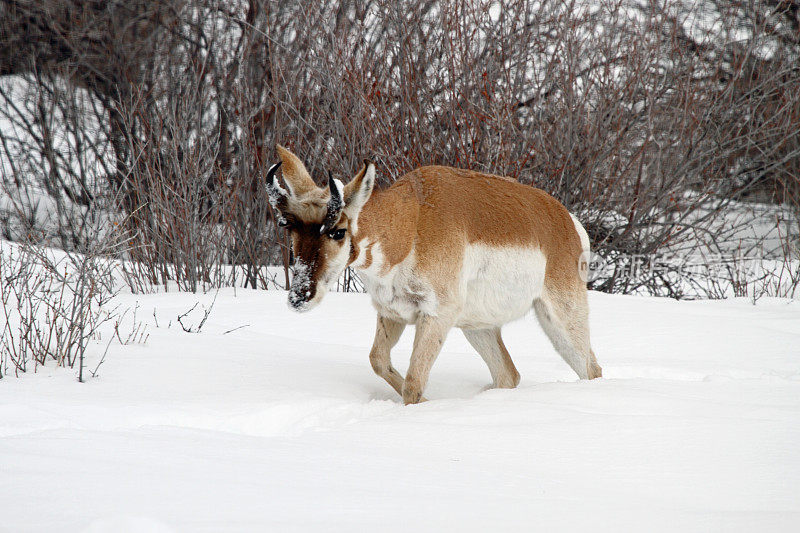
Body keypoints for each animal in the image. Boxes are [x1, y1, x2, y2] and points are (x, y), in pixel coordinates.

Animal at [266, 145, 604, 404]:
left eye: (337, 231)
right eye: (289, 227)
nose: (299, 297)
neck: (410, 224)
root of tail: (566, 219)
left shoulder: (436, 315)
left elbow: (413, 384)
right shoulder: (391, 314)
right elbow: (378, 361)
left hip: (561, 316)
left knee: (591, 369)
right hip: (478, 326)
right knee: (509, 374)